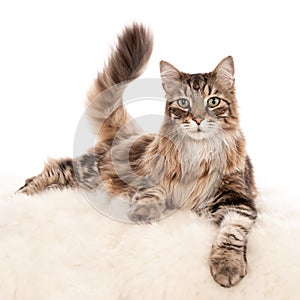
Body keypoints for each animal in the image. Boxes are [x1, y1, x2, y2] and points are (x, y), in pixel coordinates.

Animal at [18, 23, 258, 288]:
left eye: (213, 101)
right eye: (183, 103)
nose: (197, 119)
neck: (198, 151)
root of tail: (131, 133)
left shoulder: (237, 199)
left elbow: (232, 232)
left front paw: (227, 265)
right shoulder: (151, 178)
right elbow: (152, 193)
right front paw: (144, 211)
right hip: (91, 170)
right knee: (55, 168)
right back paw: (21, 195)